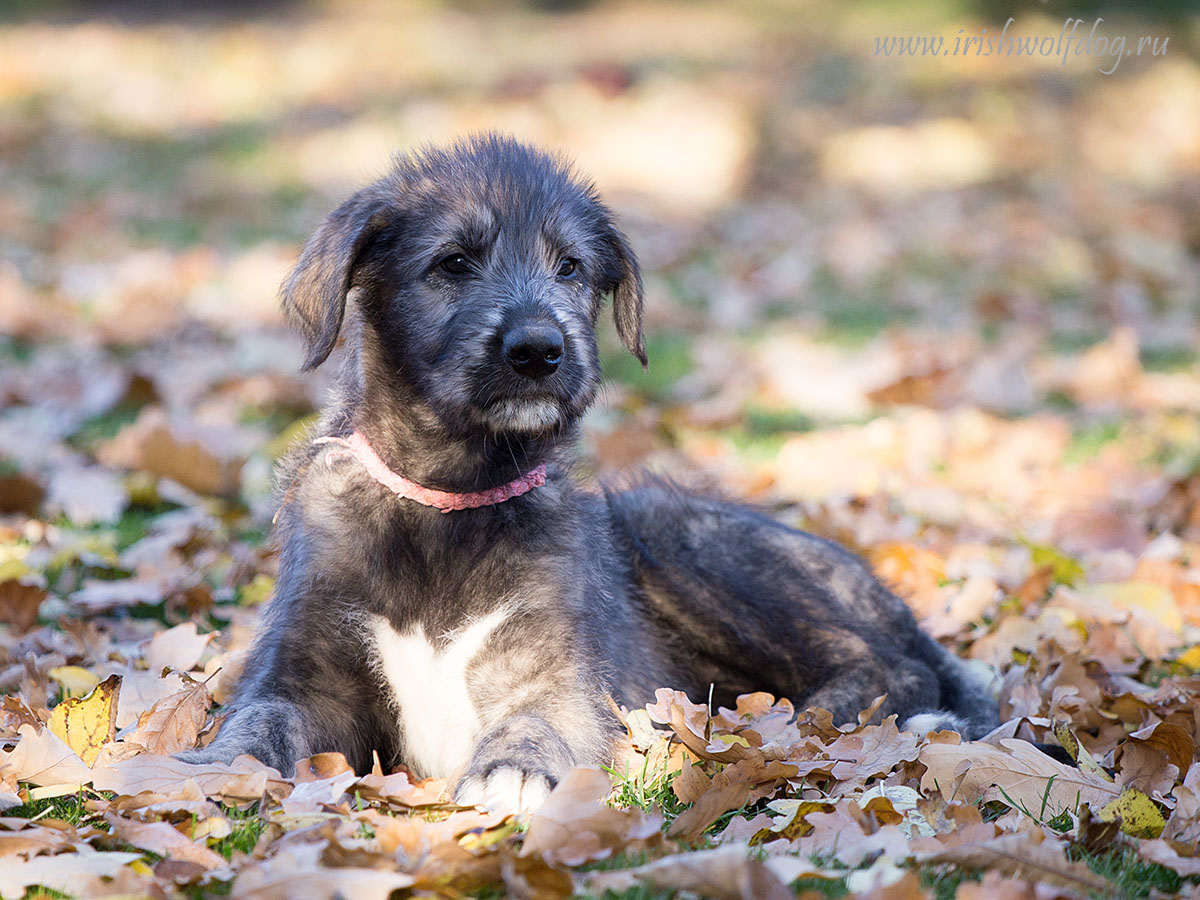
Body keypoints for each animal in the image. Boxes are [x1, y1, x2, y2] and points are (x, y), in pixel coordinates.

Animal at [182, 137, 998, 816]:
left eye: (570, 267)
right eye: (453, 263)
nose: (539, 350)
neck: (450, 499)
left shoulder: (558, 672)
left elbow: (540, 719)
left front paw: (513, 770)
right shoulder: (303, 668)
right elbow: (260, 716)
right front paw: (221, 767)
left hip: (677, 534)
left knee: (889, 666)